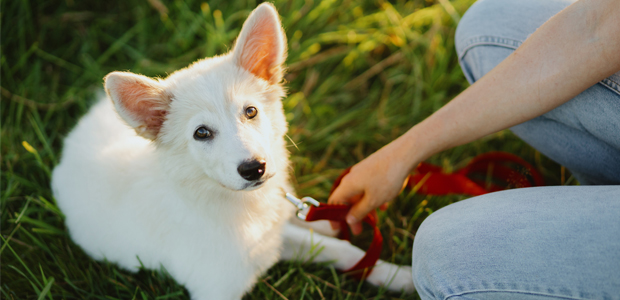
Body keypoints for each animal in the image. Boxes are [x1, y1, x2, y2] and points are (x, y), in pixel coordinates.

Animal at [50, 3, 414, 298]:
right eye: (201, 133)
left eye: (250, 111)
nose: (255, 169)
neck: (231, 205)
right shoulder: (218, 286)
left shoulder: (271, 239)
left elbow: (344, 252)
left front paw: (400, 277)